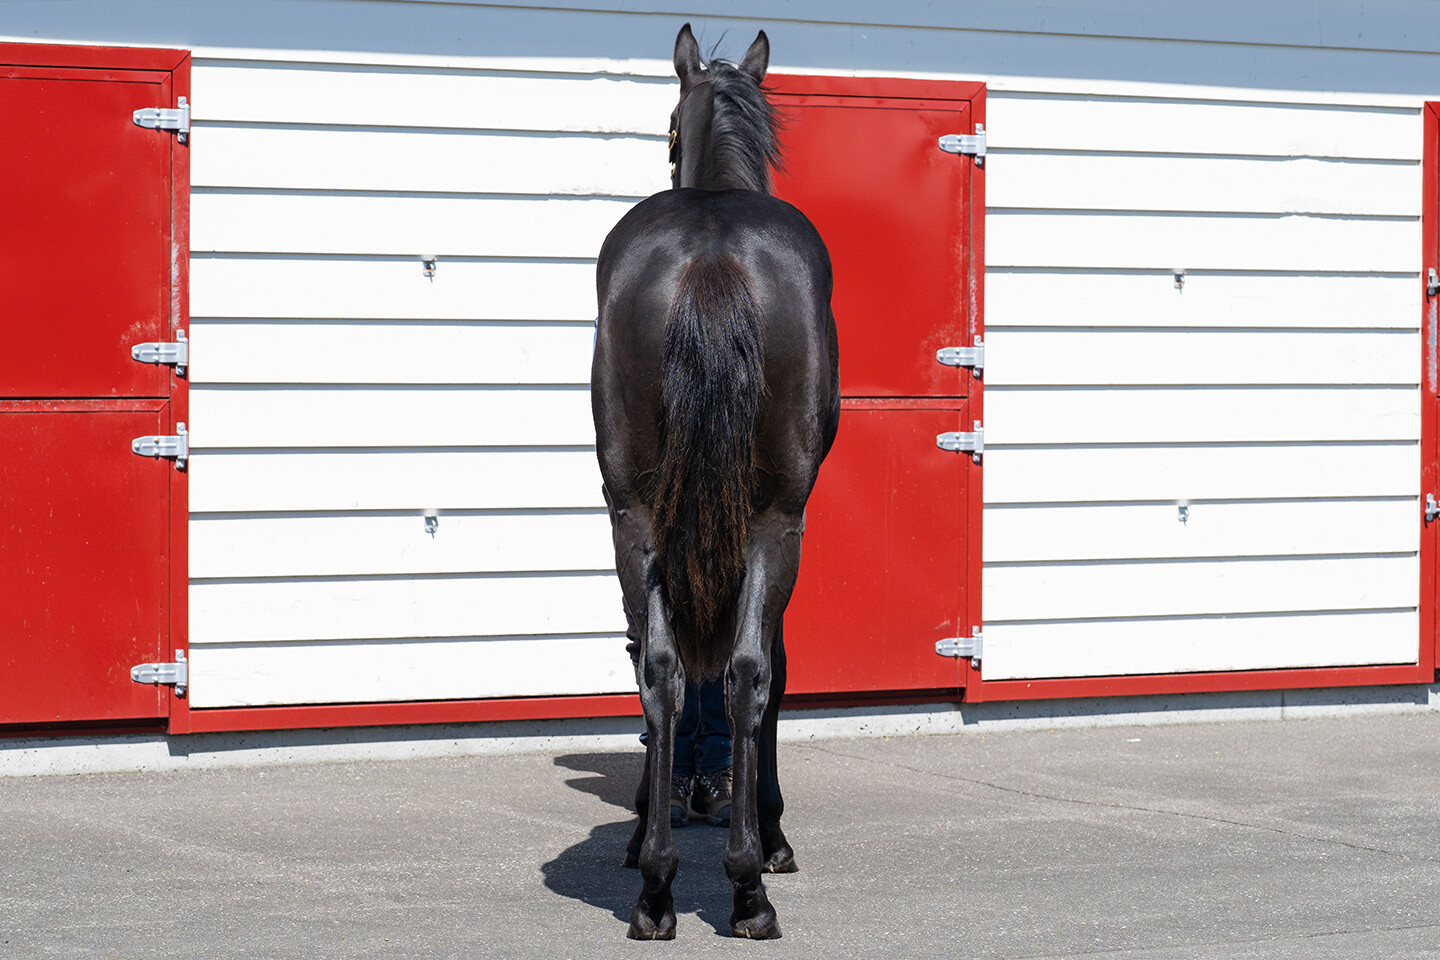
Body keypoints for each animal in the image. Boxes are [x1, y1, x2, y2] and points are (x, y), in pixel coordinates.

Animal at [591, 23, 840, 941]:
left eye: (668, 129)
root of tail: (710, 254)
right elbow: (775, 664)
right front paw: (772, 836)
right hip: (773, 518)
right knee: (746, 671)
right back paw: (746, 887)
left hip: (636, 514)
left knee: (662, 668)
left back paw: (658, 886)